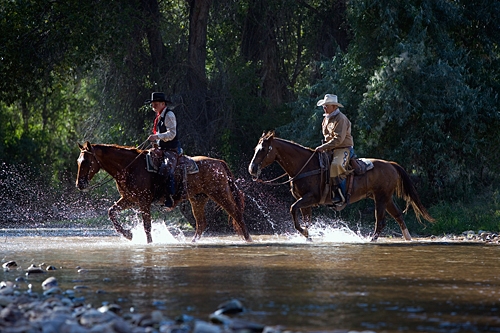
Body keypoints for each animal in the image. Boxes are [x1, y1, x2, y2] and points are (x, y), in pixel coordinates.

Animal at [75, 141, 252, 243]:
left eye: (86, 161)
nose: (79, 184)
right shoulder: (129, 199)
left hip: (220, 193)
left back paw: (248, 240)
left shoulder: (143, 201)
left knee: (237, 214)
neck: (130, 167)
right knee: (201, 224)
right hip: (198, 199)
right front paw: (128, 234)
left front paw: (149, 243)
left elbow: (147, 226)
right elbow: (111, 212)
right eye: (78, 161)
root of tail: (219, 163)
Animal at [248, 131, 436, 240]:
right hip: (386, 198)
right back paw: (408, 239)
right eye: (255, 148)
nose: (252, 169)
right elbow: (305, 219)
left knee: (380, 222)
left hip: (381, 198)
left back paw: (371, 240)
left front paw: (306, 233)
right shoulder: (305, 202)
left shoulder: (310, 198)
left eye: (263, 149)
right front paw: (309, 235)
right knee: (398, 216)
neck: (306, 166)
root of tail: (390, 164)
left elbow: (293, 209)